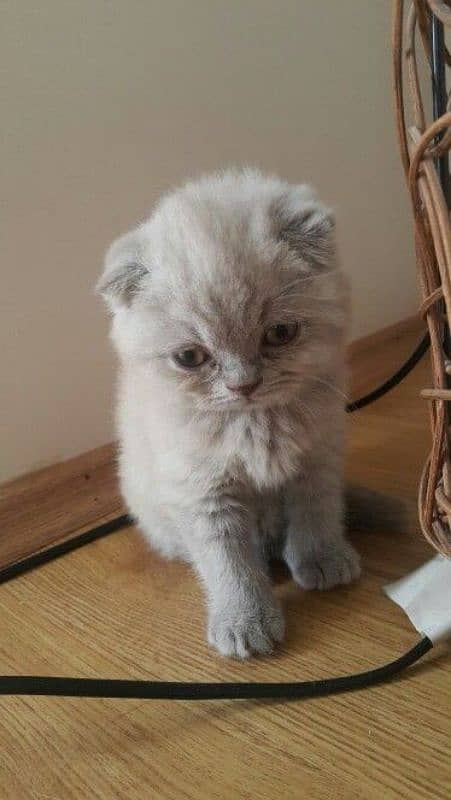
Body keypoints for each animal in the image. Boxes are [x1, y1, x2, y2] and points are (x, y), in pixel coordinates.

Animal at [98, 169, 360, 656]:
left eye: (280, 333)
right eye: (190, 357)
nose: (244, 385)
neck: (255, 423)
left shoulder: (320, 454)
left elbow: (316, 508)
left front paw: (323, 556)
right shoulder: (199, 489)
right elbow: (226, 559)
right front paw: (244, 620)